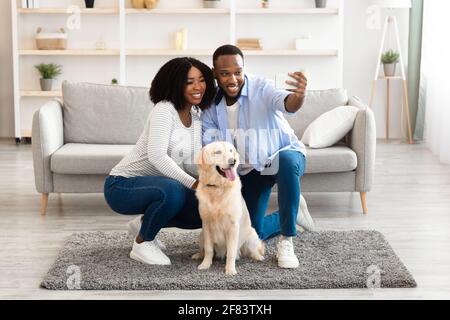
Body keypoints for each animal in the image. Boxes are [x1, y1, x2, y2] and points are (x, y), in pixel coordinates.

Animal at [192, 142, 264, 276]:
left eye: (231, 151)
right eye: (218, 152)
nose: (233, 161)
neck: (217, 187)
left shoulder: (233, 226)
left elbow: (231, 252)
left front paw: (230, 269)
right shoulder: (206, 224)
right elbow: (209, 249)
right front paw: (205, 264)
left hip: (251, 235)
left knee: (252, 249)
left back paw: (258, 256)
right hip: (201, 235)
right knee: (204, 249)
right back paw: (199, 255)